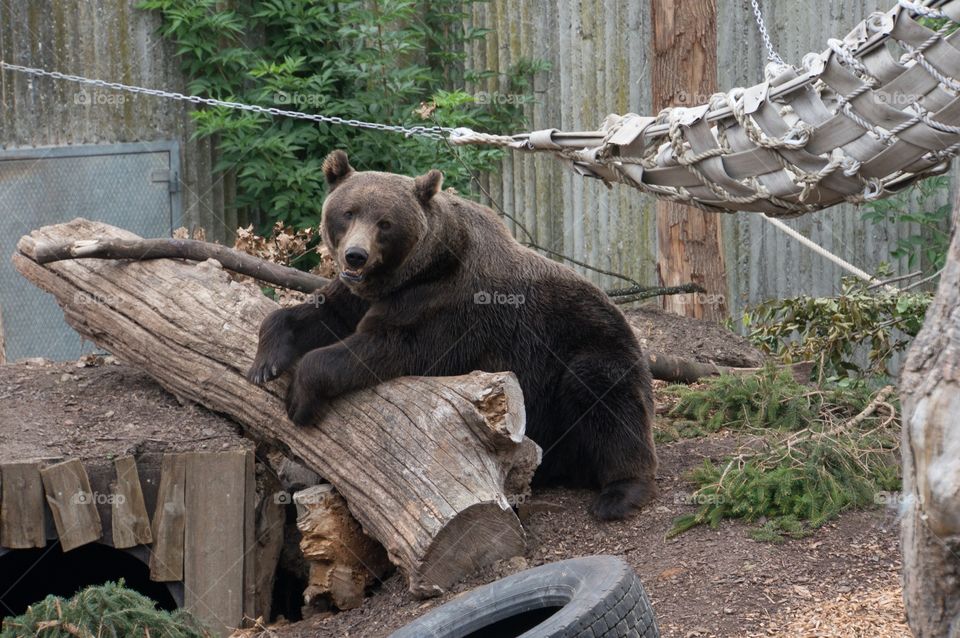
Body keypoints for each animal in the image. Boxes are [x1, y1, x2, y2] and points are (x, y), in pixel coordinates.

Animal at [248, 150, 658, 520]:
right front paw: (264, 364)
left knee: (604, 399)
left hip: (592, 348)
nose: (355, 255)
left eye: (385, 223)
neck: (415, 272)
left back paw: (618, 493)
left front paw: (299, 397)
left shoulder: (447, 308)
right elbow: (316, 313)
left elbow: (385, 345)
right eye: (348, 212)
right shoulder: (359, 297)